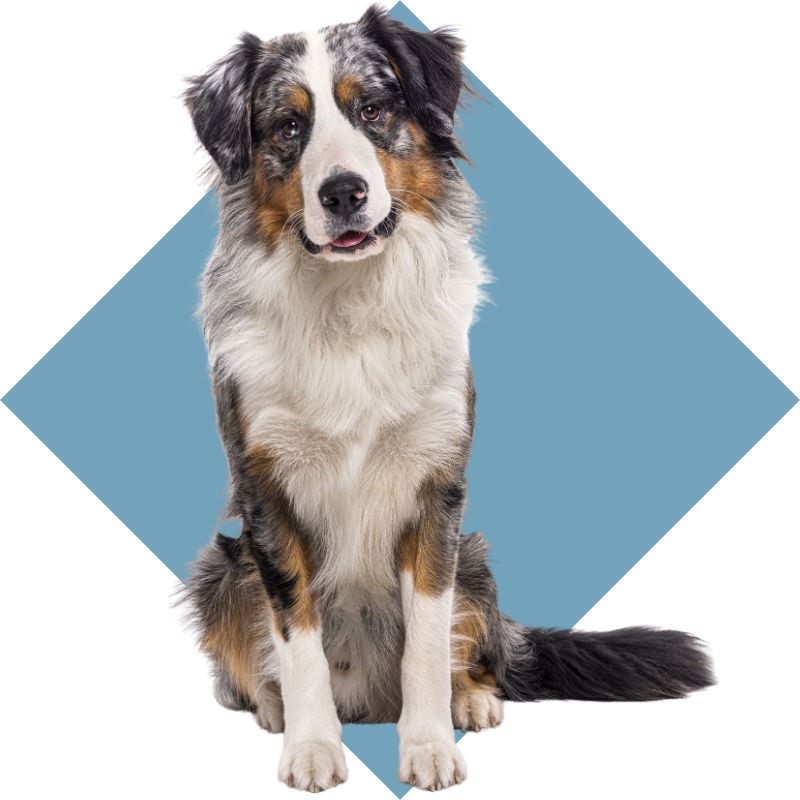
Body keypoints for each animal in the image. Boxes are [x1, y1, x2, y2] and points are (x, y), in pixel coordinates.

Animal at [181, 6, 712, 792]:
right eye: (288, 126)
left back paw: (473, 698)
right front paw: (312, 746)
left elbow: (429, 639)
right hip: (221, 569)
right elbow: (297, 637)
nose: (343, 192)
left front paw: (430, 745)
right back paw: (273, 705)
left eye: (373, 109)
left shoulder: (437, 491)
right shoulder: (266, 493)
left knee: (476, 649)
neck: (351, 305)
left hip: (478, 556)